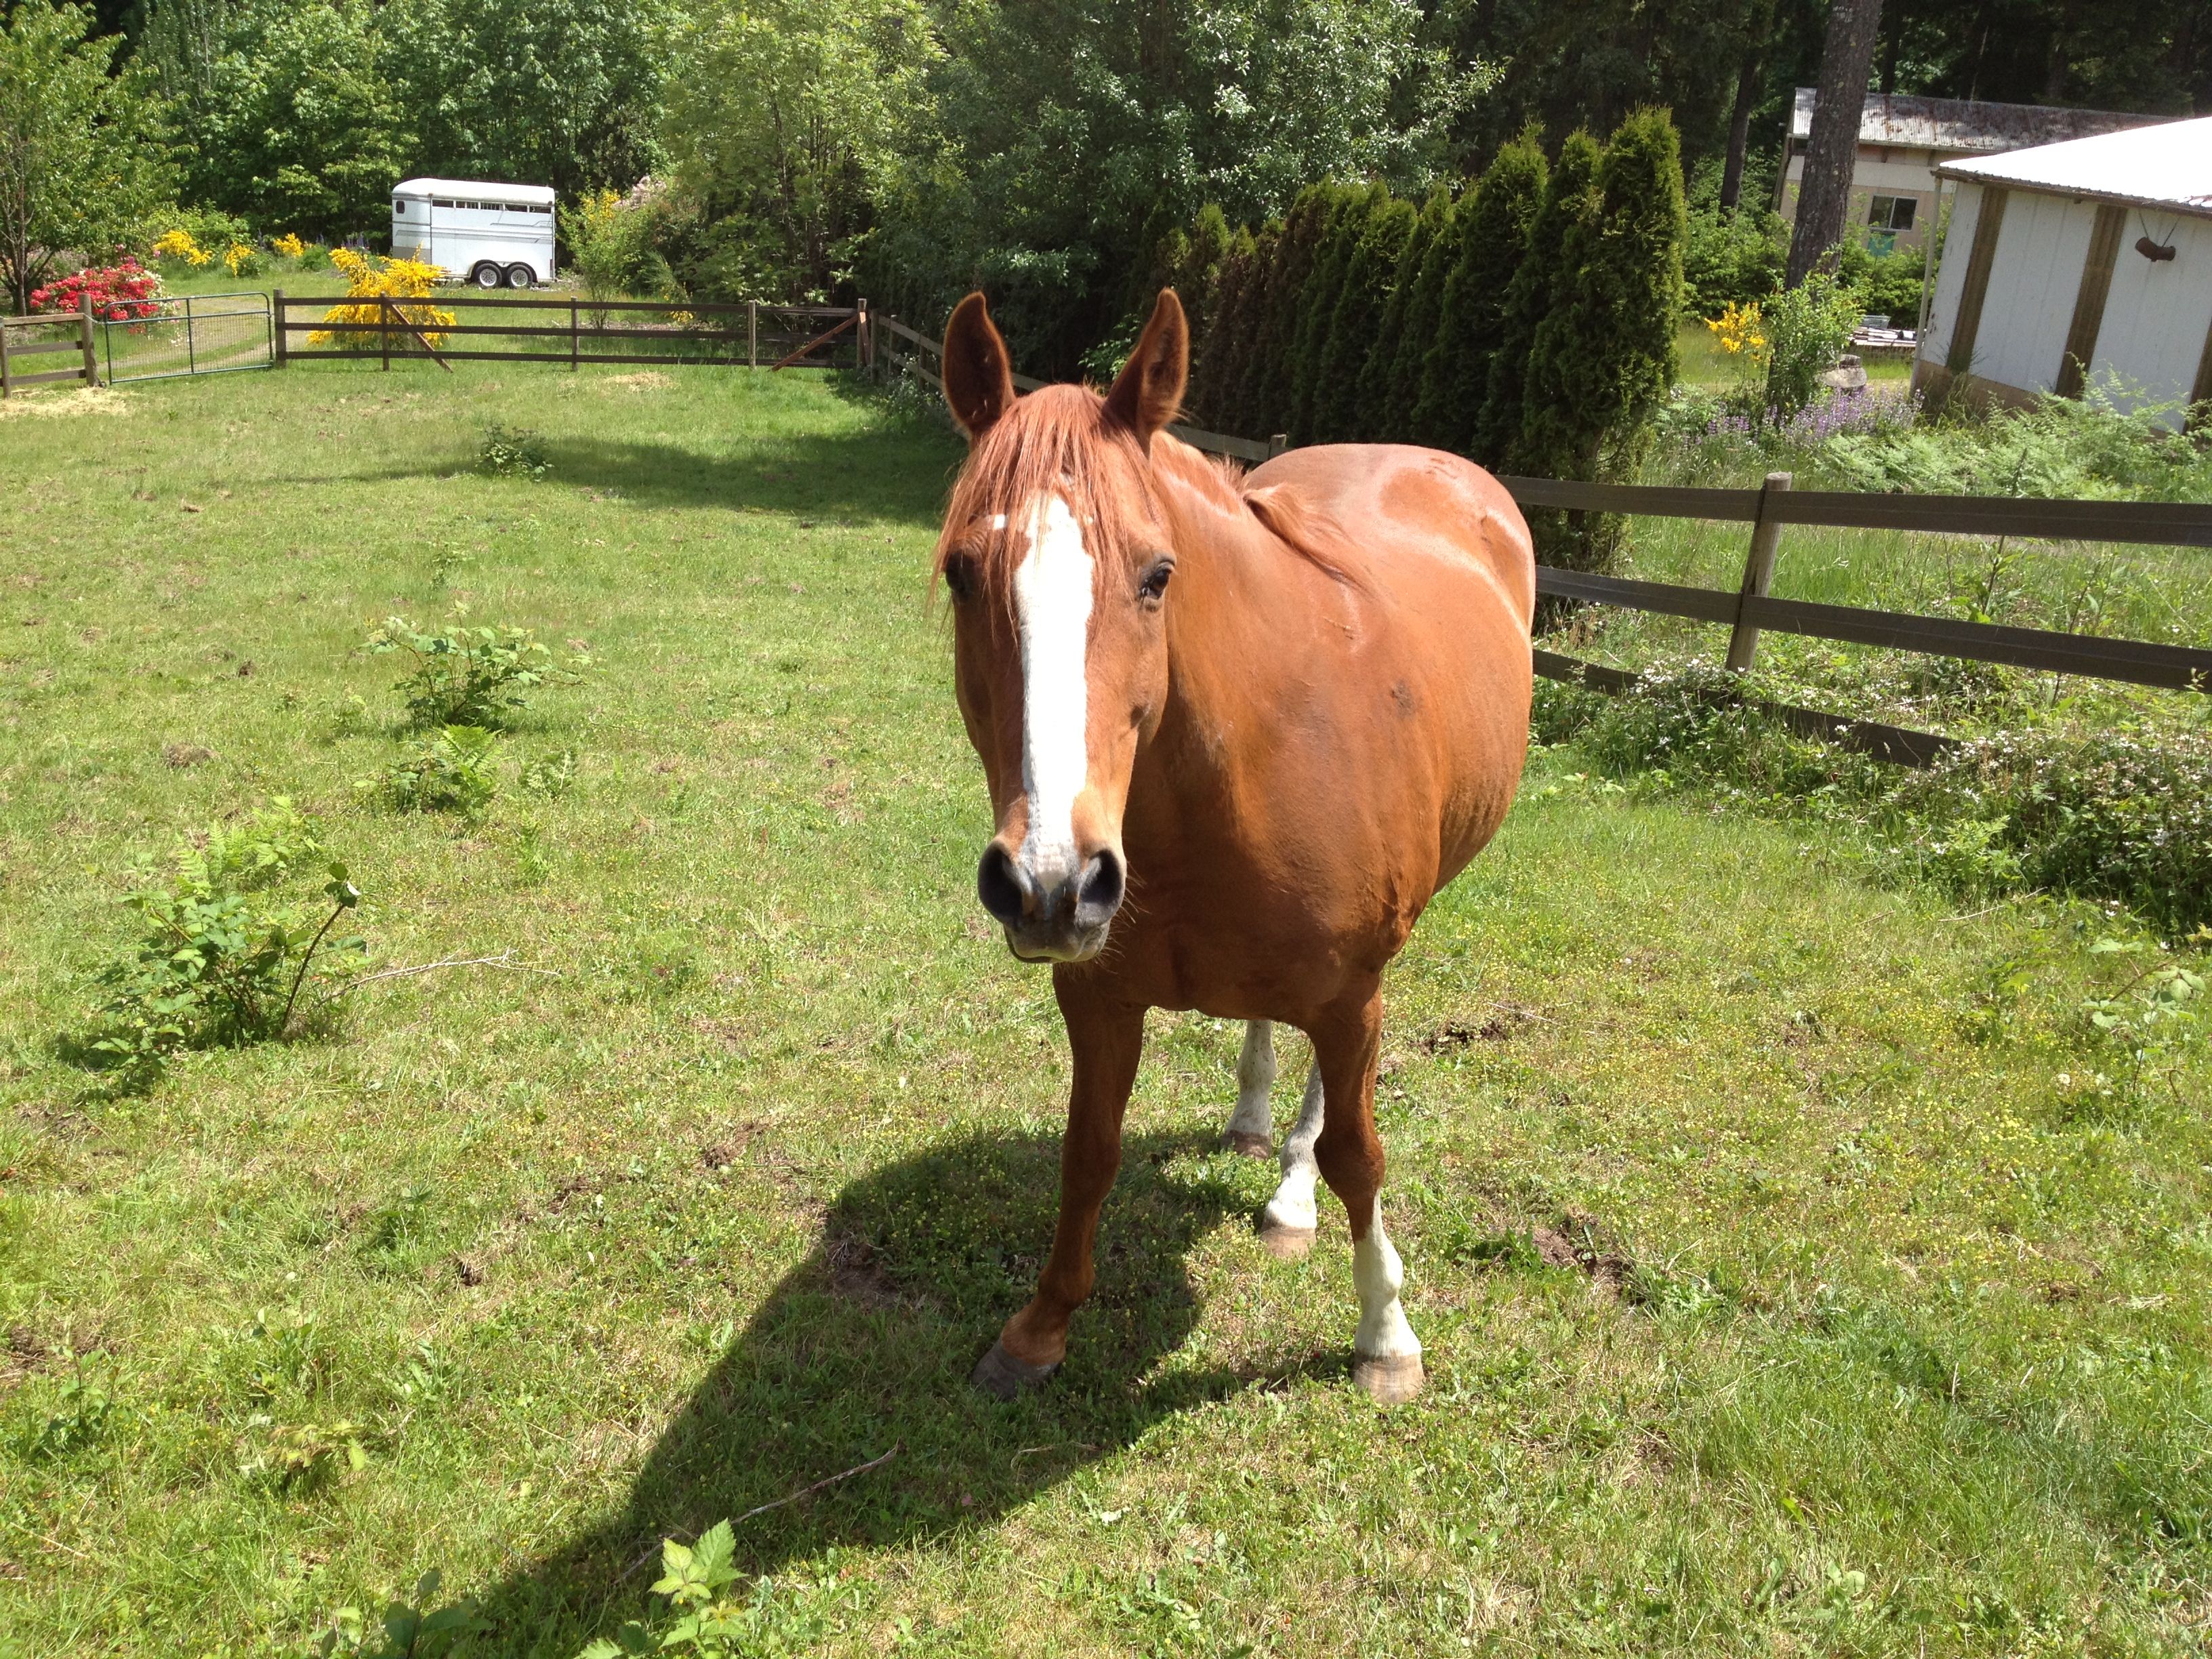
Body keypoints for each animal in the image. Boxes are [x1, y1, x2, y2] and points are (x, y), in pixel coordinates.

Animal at [932, 287, 1535, 1404]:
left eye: (1158, 574)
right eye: (960, 573)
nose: (1050, 884)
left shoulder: (1348, 996)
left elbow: (1359, 1157)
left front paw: (1385, 1335)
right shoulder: (1096, 996)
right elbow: (1089, 1150)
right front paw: (1040, 1328)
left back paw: (1291, 1191)